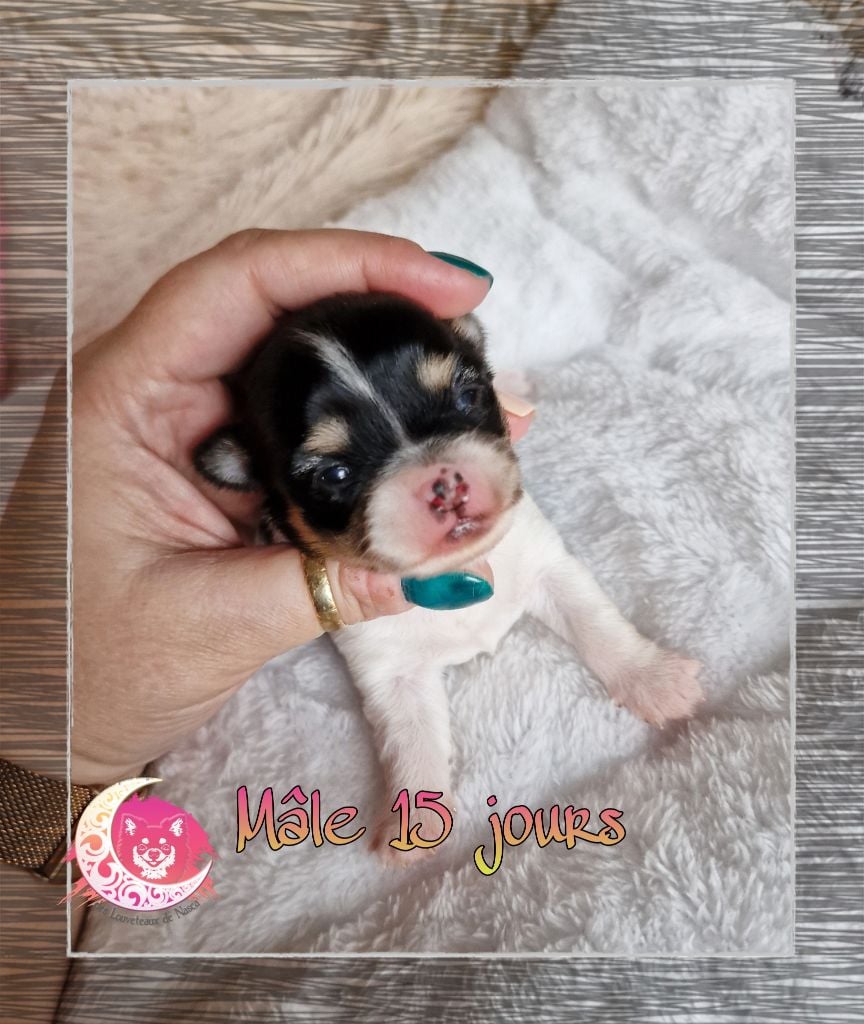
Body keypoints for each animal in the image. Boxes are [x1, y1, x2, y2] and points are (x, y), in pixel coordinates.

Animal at [194, 292, 703, 856]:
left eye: (466, 396)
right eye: (335, 474)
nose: (446, 485)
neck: (459, 570)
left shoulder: (546, 560)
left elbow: (597, 624)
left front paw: (655, 681)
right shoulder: (385, 669)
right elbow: (411, 738)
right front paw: (414, 824)